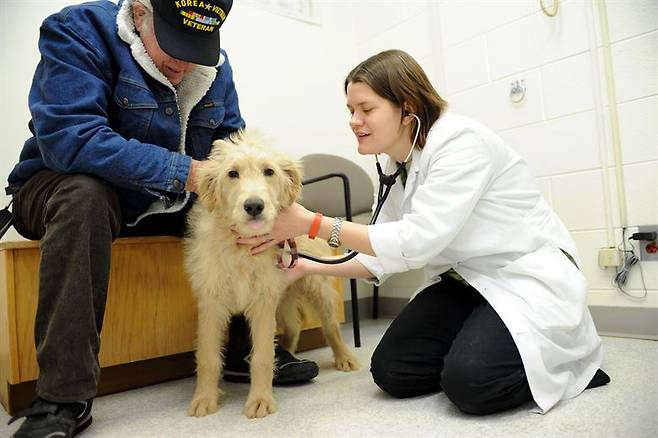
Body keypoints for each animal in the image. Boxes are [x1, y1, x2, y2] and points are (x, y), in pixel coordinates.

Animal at [183, 132, 358, 420]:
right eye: (232, 173)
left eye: (269, 171)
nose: (254, 206)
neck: (242, 248)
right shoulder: (212, 302)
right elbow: (208, 356)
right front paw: (204, 399)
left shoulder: (263, 302)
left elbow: (262, 356)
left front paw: (260, 400)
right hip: (283, 296)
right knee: (294, 326)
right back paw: (289, 354)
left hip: (315, 287)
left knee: (331, 324)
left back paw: (345, 357)